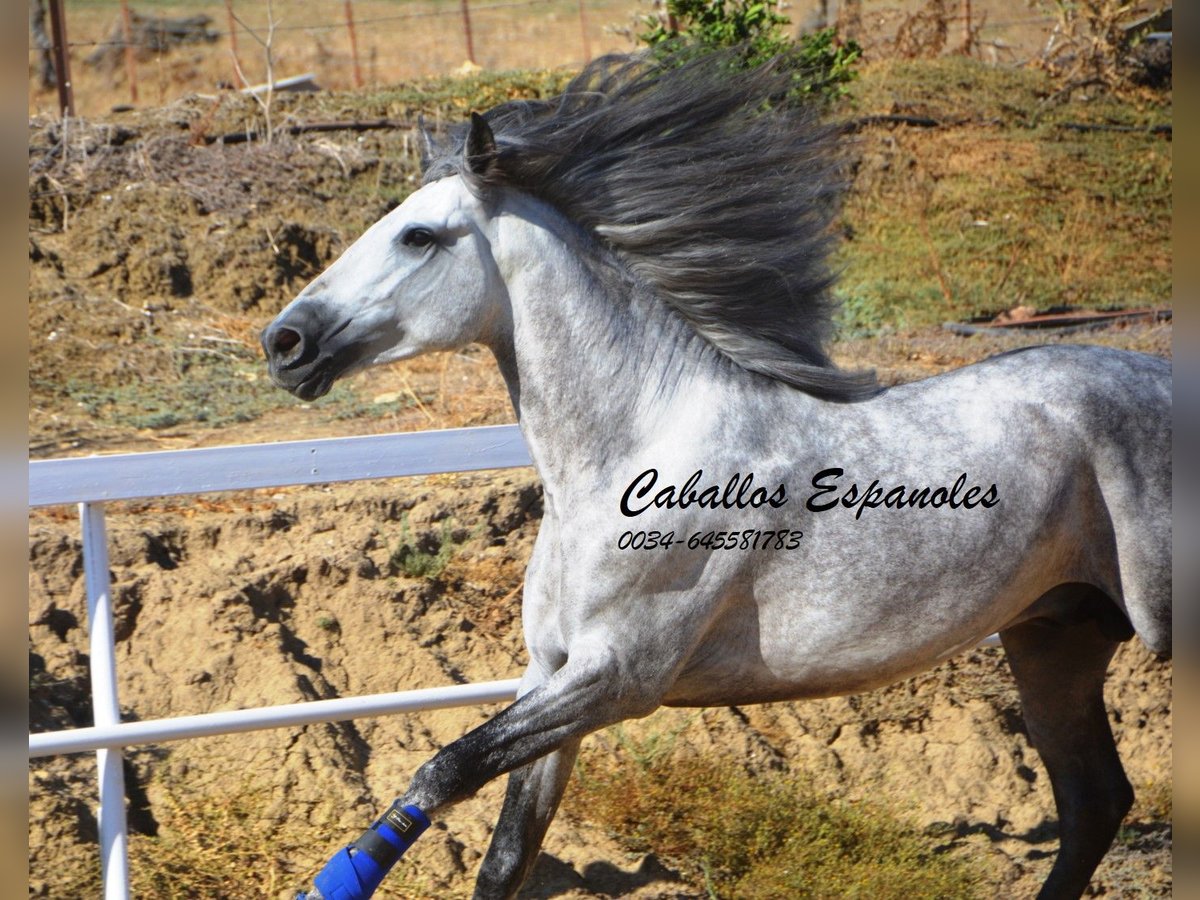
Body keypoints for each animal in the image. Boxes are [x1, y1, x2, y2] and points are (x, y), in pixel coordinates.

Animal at [265, 52, 1171, 900]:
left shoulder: (619, 676)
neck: (628, 457)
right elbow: (504, 856)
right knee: (1095, 802)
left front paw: (332, 881)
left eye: (418, 237)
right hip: (1055, 637)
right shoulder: (553, 674)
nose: (285, 343)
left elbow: (444, 768)